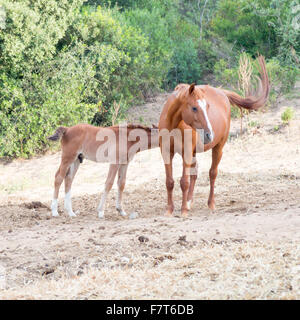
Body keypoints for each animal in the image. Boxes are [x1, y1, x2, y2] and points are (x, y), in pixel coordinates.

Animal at [159, 55, 270, 218]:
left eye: (207, 107)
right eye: (194, 108)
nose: (208, 134)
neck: (174, 125)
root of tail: (222, 92)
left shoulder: (186, 153)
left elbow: (184, 182)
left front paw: (183, 210)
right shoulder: (167, 152)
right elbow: (170, 182)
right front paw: (169, 210)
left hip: (218, 148)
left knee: (212, 173)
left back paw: (210, 204)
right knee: (195, 175)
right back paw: (190, 202)